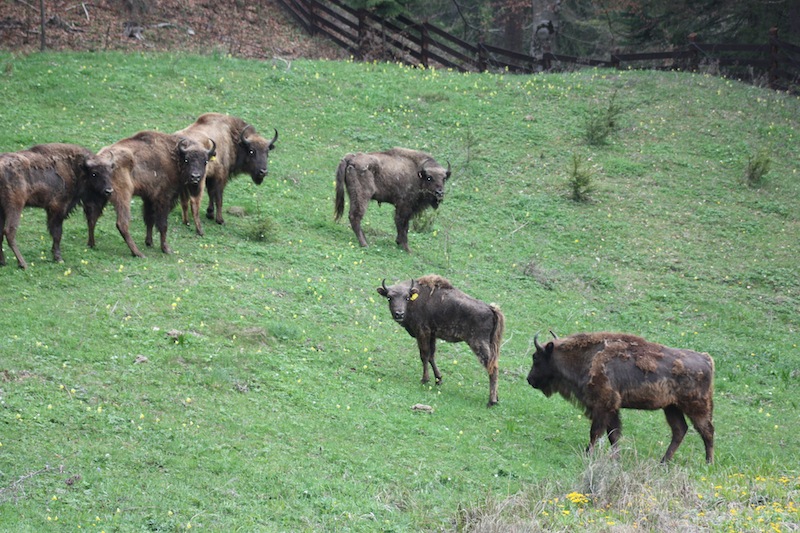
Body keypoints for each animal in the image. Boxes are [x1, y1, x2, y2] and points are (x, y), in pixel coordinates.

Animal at [88, 131, 216, 258]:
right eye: (187, 160)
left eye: (205, 161)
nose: (195, 177)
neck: (174, 155)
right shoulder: (163, 198)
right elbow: (163, 224)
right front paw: (166, 249)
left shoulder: (149, 198)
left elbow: (149, 219)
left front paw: (149, 242)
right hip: (123, 197)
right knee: (122, 224)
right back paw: (138, 253)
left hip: (99, 197)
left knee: (92, 218)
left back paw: (92, 244)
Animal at [377, 275, 504, 406]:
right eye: (389, 297)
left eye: (406, 297)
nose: (399, 314)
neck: (415, 298)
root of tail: (491, 308)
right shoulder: (432, 335)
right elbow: (431, 356)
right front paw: (438, 380)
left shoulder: (422, 332)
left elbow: (424, 355)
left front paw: (425, 379)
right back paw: (496, 397)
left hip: (478, 344)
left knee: (492, 367)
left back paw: (491, 401)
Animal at [527, 331, 715, 463]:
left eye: (536, 357)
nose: (530, 379)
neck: (587, 357)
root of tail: (706, 359)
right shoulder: (612, 409)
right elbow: (613, 434)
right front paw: (616, 458)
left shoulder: (603, 405)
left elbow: (596, 432)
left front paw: (588, 453)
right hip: (671, 408)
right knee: (680, 430)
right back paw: (663, 462)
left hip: (696, 407)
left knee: (707, 431)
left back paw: (708, 463)